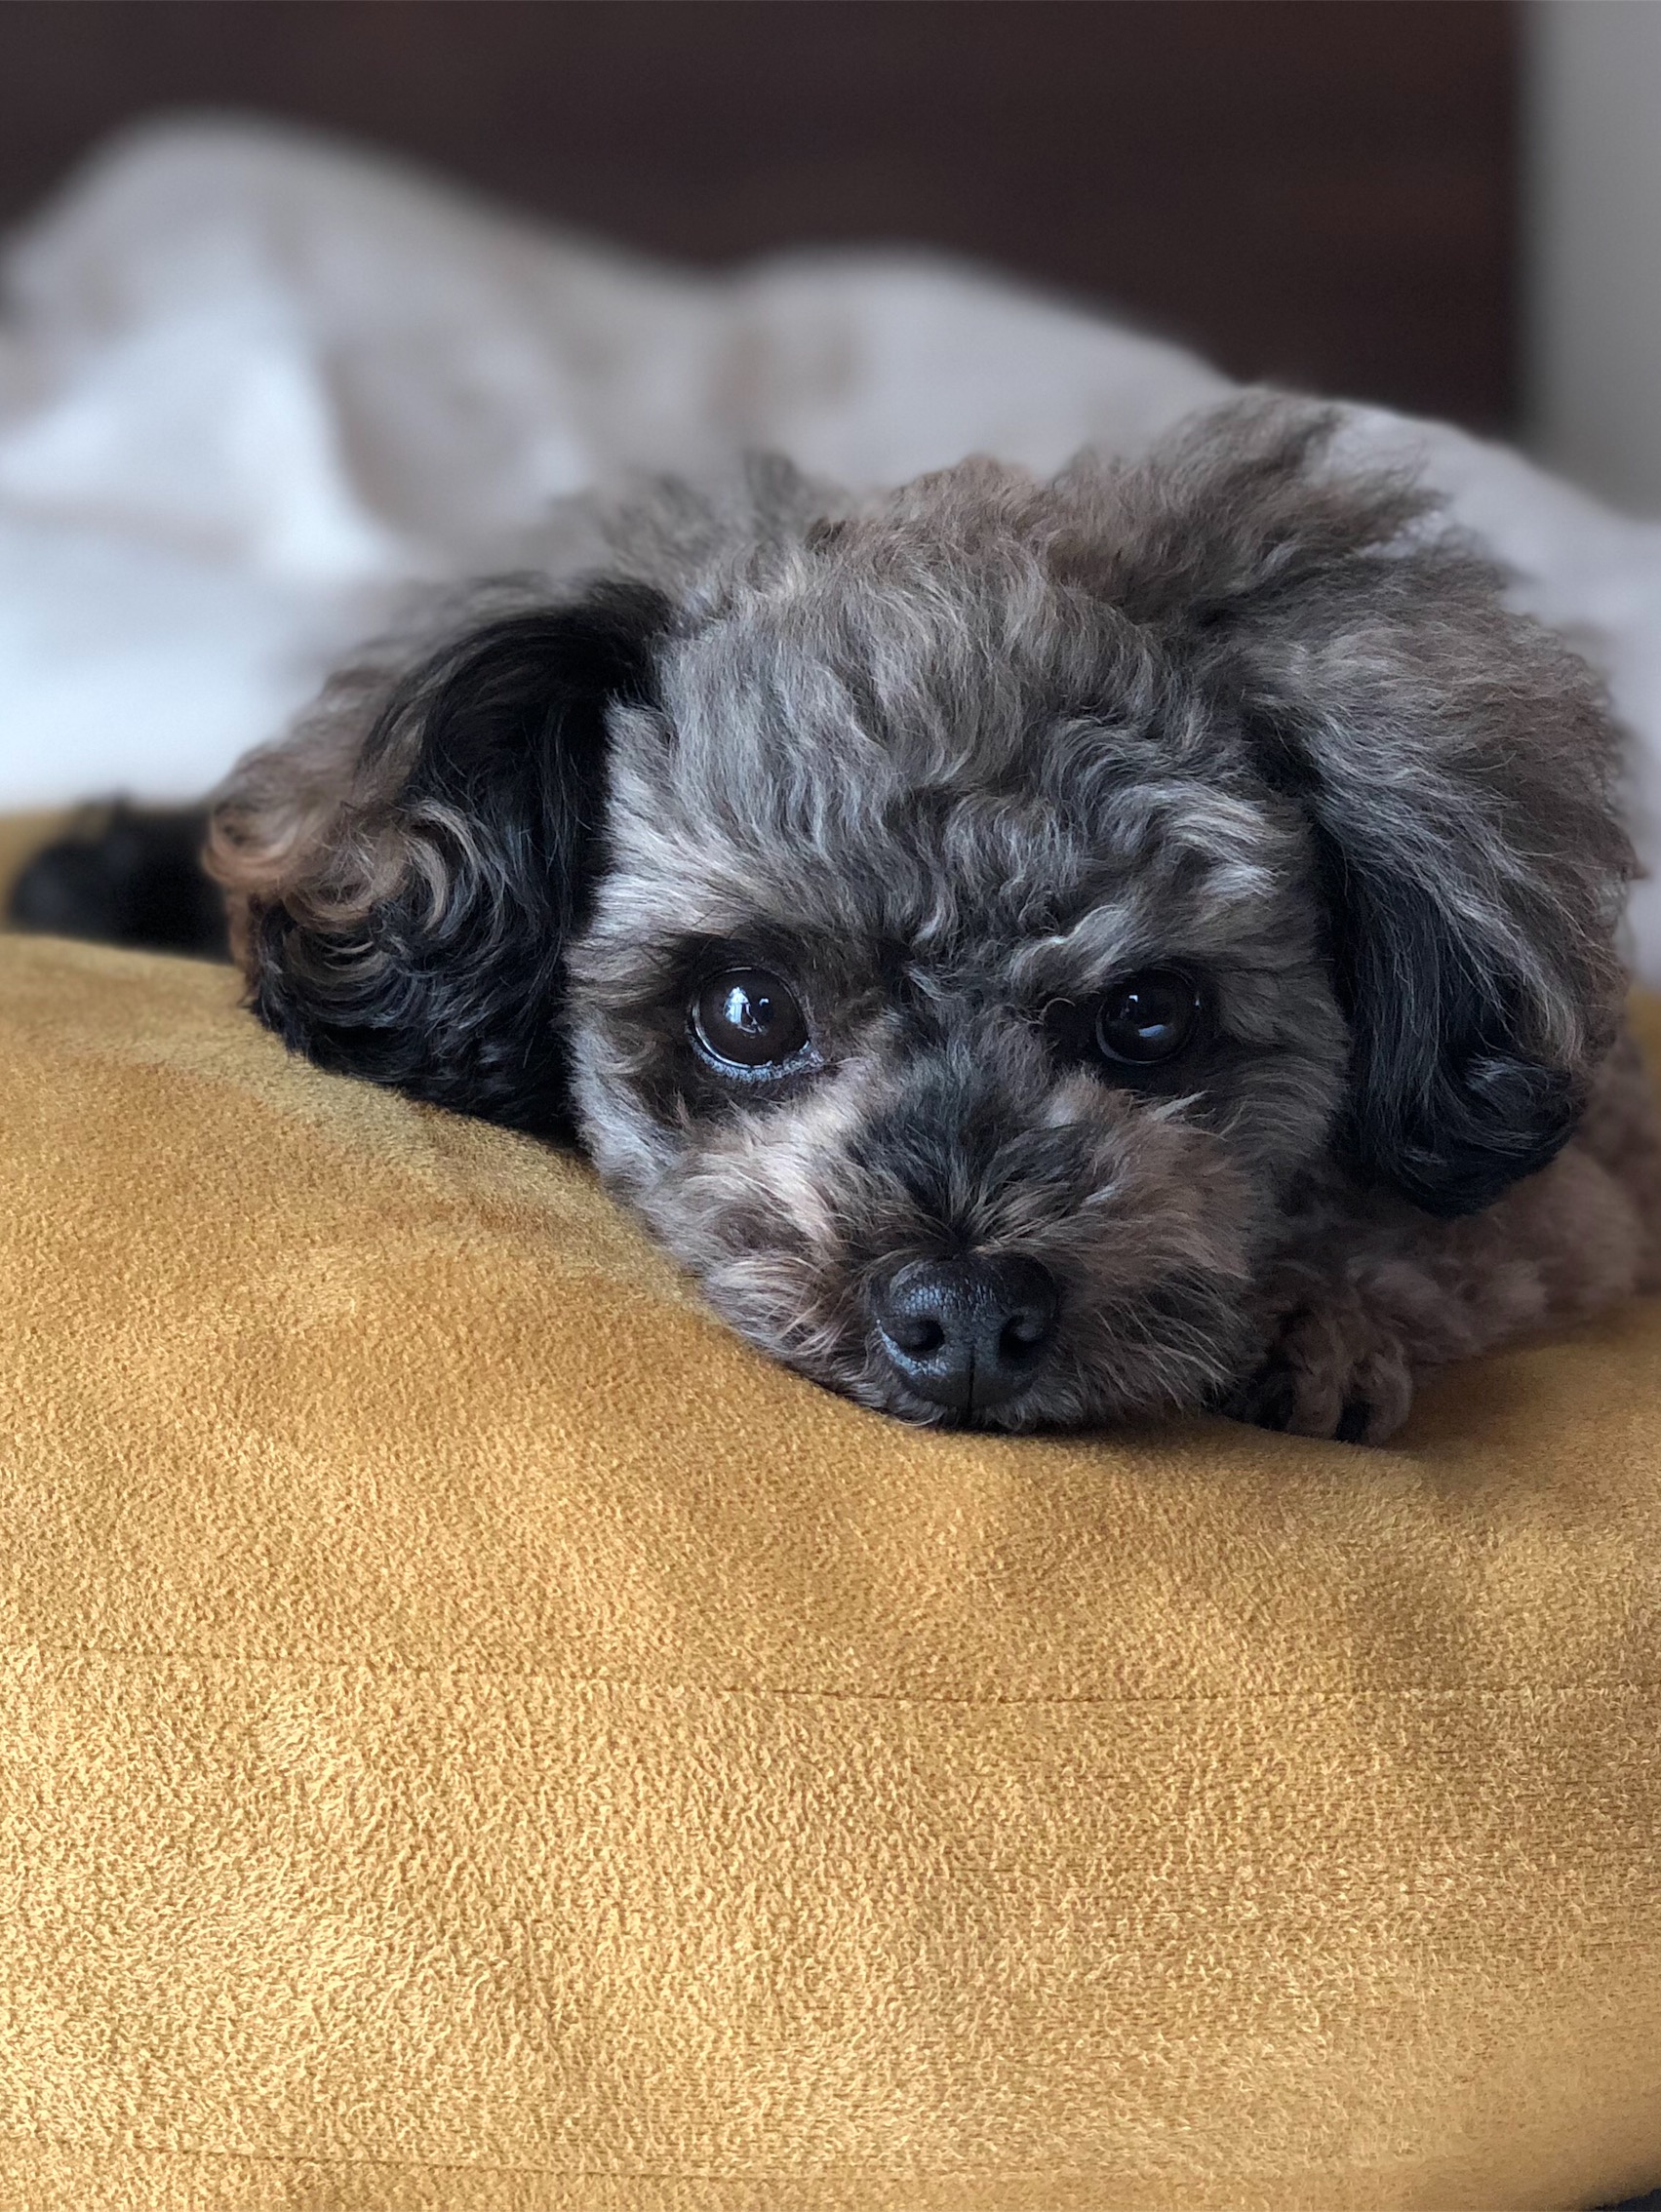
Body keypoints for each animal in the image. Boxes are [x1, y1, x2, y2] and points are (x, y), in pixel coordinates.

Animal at [28, 396, 1659, 1440]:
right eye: (747, 1011)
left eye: (1151, 1015)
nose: (967, 1317)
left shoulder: (1569, 1194)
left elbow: (1435, 1236)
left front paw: (1315, 1320)